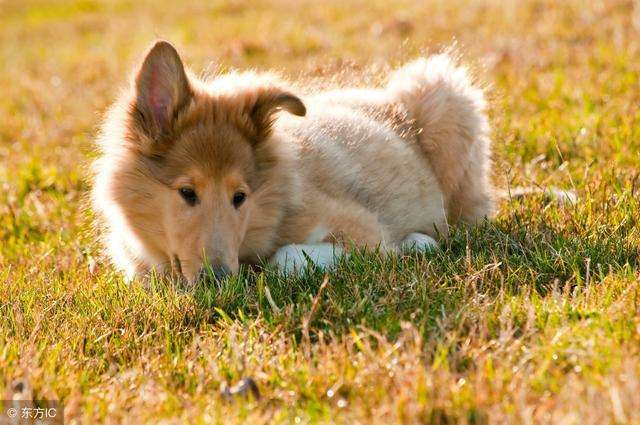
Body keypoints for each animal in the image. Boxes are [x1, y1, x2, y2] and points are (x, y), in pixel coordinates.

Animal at [90, 40, 492, 284]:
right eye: (187, 192)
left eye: (240, 197)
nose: (220, 281)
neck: (275, 203)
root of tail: (389, 98)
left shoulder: (364, 231)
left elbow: (284, 258)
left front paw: (415, 244)